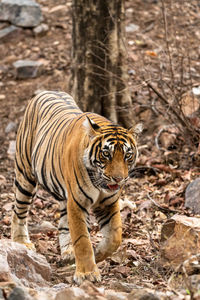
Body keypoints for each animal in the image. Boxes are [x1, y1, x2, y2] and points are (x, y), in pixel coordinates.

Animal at [11, 91, 142, 284]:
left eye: (128, 155)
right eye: (106, 154)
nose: (119, 179)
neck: (100, 183)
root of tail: (45, 91)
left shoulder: (108, 203)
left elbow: (115, 236)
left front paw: (99, 254)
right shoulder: (77, 203)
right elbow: (82, 239)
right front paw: (87, 273)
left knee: (63, 224)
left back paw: (68, 252)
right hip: (25, 176)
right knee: (18, 210)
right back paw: (21, 242)